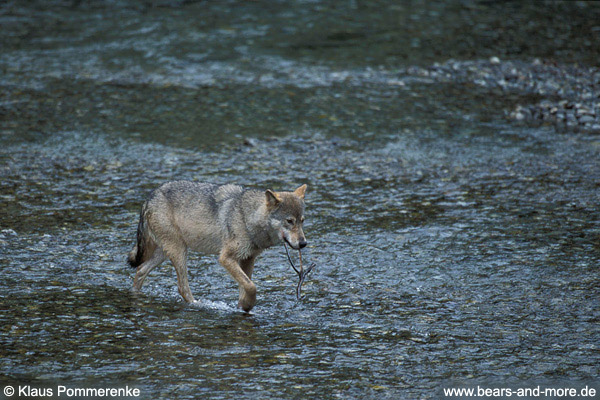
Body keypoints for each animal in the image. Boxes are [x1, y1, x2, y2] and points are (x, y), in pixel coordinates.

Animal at [125, 181, 304, 312]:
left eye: (302, 221)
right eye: (289, 221)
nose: (303, 243)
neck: (247, 217)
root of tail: (149, 198)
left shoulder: (248, 259)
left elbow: (245, 286)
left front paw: (243, 307)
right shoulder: (226, 258)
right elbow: (251, 286)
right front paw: (248, 305)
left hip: (163, 253)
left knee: (140, 270)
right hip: (179, 252)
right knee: (182, 287)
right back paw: (198, 305)